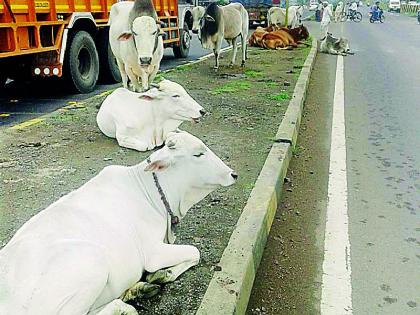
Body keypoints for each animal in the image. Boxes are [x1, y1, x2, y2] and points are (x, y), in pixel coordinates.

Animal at [0, 131, 238, 315]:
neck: (153, 194)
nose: (233, 174)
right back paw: (124, 305)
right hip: (93, 263)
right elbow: (195, 252)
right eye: (198, 154)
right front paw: (161, 273)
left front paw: (158, 276)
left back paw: (137, 290)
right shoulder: (152, 253)